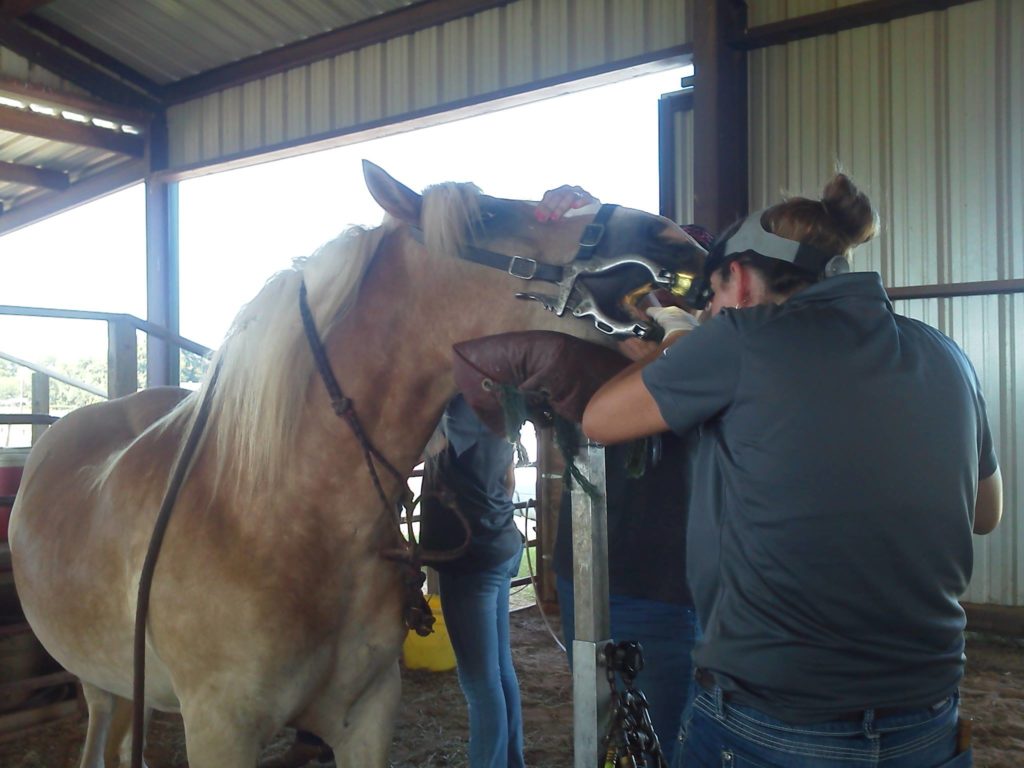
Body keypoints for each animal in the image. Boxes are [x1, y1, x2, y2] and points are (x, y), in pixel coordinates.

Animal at [9, 159, 704, 765]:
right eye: (485, 215)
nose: (668, 235)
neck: (271, 513)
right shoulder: (219, 730)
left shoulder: (367, 715)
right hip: (99, 681)